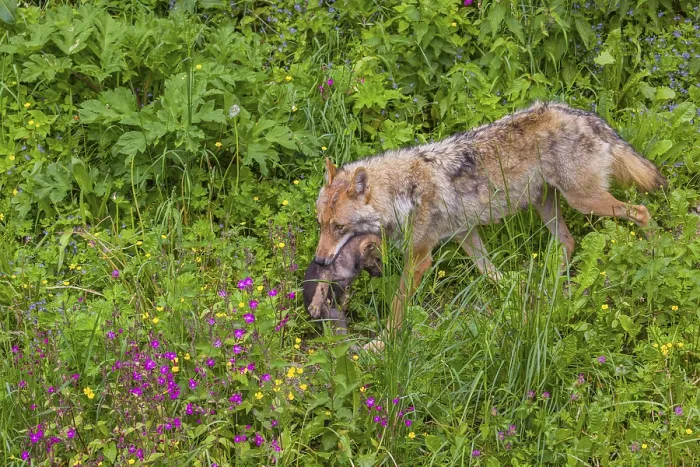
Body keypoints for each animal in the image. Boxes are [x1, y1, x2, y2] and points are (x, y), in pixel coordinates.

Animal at [313, 101, 667, 350]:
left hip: (583, 201)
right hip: (546, 203)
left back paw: (655, 253)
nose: (319, 260)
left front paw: (380, 345)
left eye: (339, 227)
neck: (403, 192)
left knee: (642, 212)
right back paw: (549, 286)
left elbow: (398, 308)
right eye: (321, 224)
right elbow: (489, 270)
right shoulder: (464, 233)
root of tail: (584, 115)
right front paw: (517, 289)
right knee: (568, 241)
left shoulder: (419, 258)